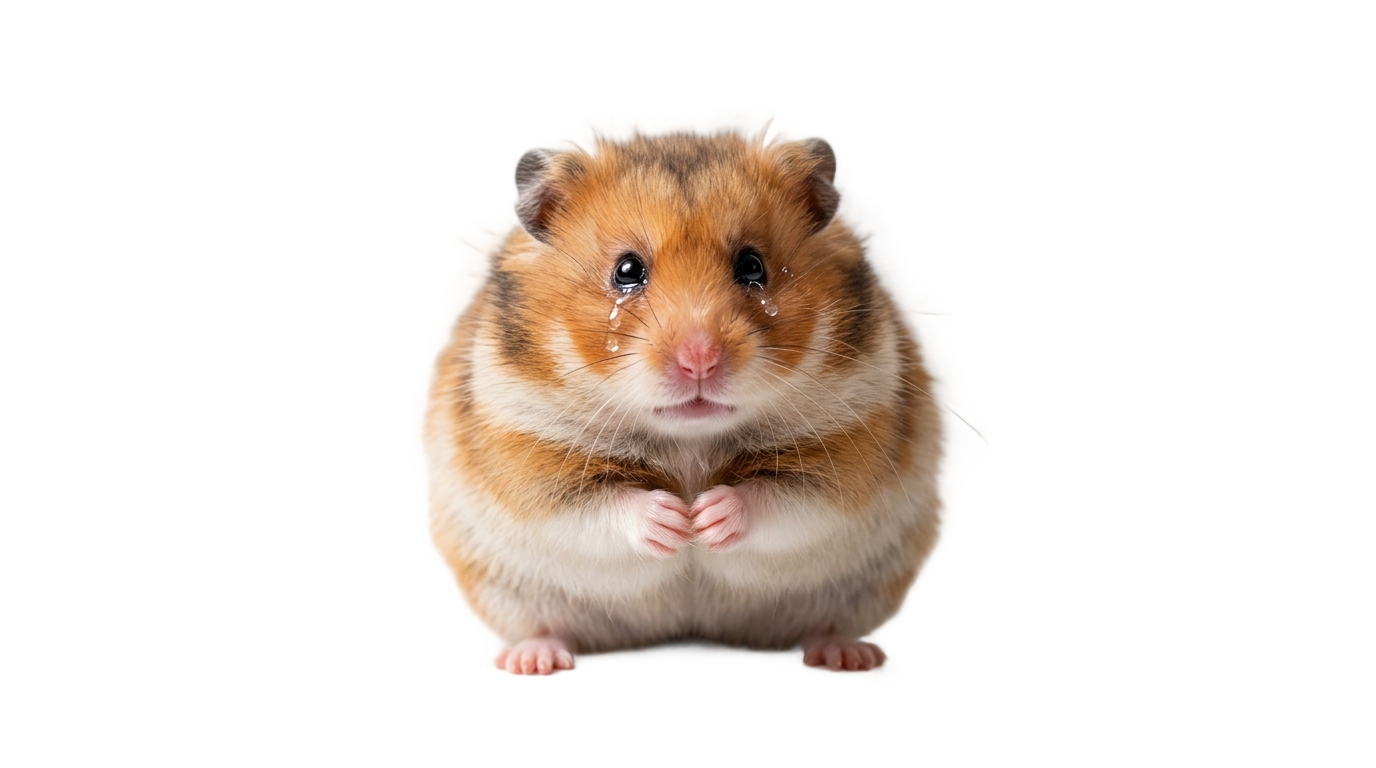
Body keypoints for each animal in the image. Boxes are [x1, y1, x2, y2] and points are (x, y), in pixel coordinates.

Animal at [425, 132, 941, 673]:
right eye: (627, 270)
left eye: (752, 266)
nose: (699, 361)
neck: (690, 437)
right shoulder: (528, 456)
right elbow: (599, 506)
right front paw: (676, 522)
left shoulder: (847, 449)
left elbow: (781, 498)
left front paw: (705, 520)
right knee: (547, 628)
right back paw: (534, 663)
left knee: (825, 627)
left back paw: (847, 659)